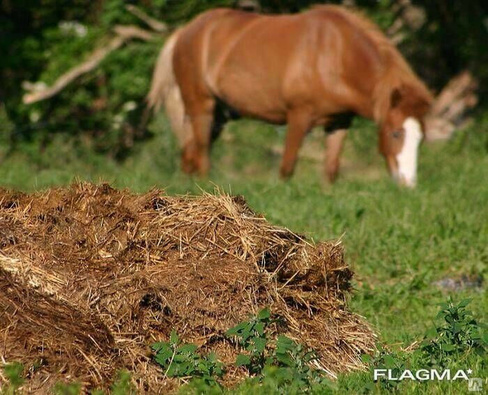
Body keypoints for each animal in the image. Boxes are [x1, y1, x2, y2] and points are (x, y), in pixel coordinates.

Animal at [147, 4, 432, 187]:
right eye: (395, 133)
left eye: (421, 138)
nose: (408, 183)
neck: (335, 55)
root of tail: (184, 31)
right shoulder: (298, 116)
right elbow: (287, 167)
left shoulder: (339, 122)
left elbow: (330, 170)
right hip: (201, 107)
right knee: (202, 154)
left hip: (219, 115)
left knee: (189, 154)